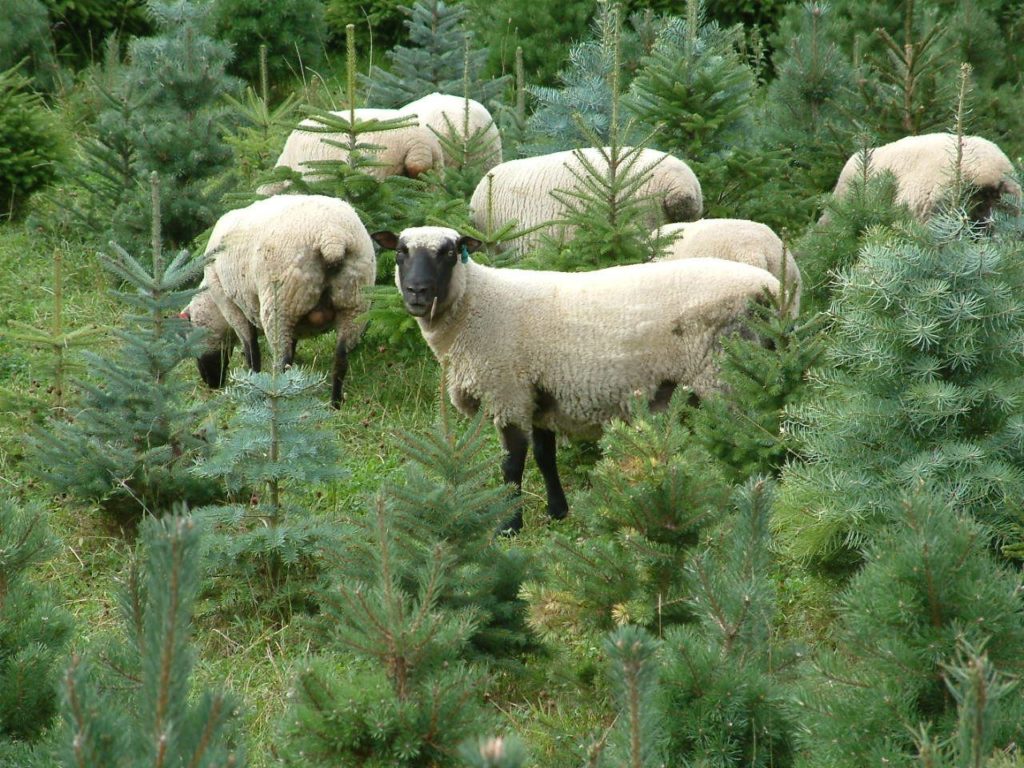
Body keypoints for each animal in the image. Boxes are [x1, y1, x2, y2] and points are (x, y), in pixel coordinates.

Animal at [182, 195, 377, 408]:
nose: (211, 383)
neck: (213, 304)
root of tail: (332, 237)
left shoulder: (232, 307)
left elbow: (251, 351)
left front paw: (253, 383)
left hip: (279, 305)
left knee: (283, 361)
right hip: (355, 304)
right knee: (340, 360)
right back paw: (335, 404)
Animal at [371, 225, 780, 533]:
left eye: (450, 253)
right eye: (401, 252)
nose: (417, 292)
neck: (475, 305)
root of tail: (773, 287)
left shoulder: (508, 391)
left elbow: (512, 465)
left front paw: (509, 526)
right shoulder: (538, 393)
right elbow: (544, 457)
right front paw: (557, 511)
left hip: (724, 368)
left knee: (747, 433)